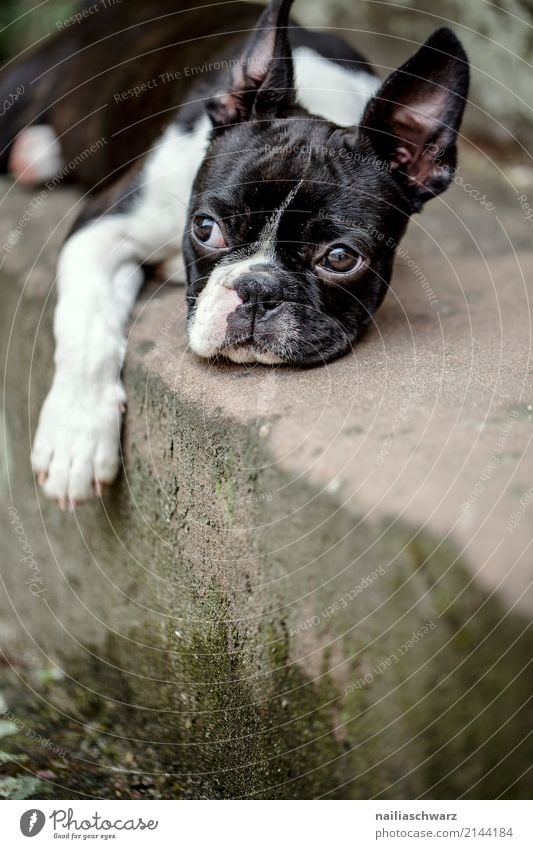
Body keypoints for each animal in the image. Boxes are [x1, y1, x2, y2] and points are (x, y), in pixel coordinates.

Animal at [4, 0, 470, 504]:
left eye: (341, 258)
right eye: (206, 229)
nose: (259, 289)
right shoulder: (103, 225)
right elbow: (86, 326)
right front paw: (76, 435)